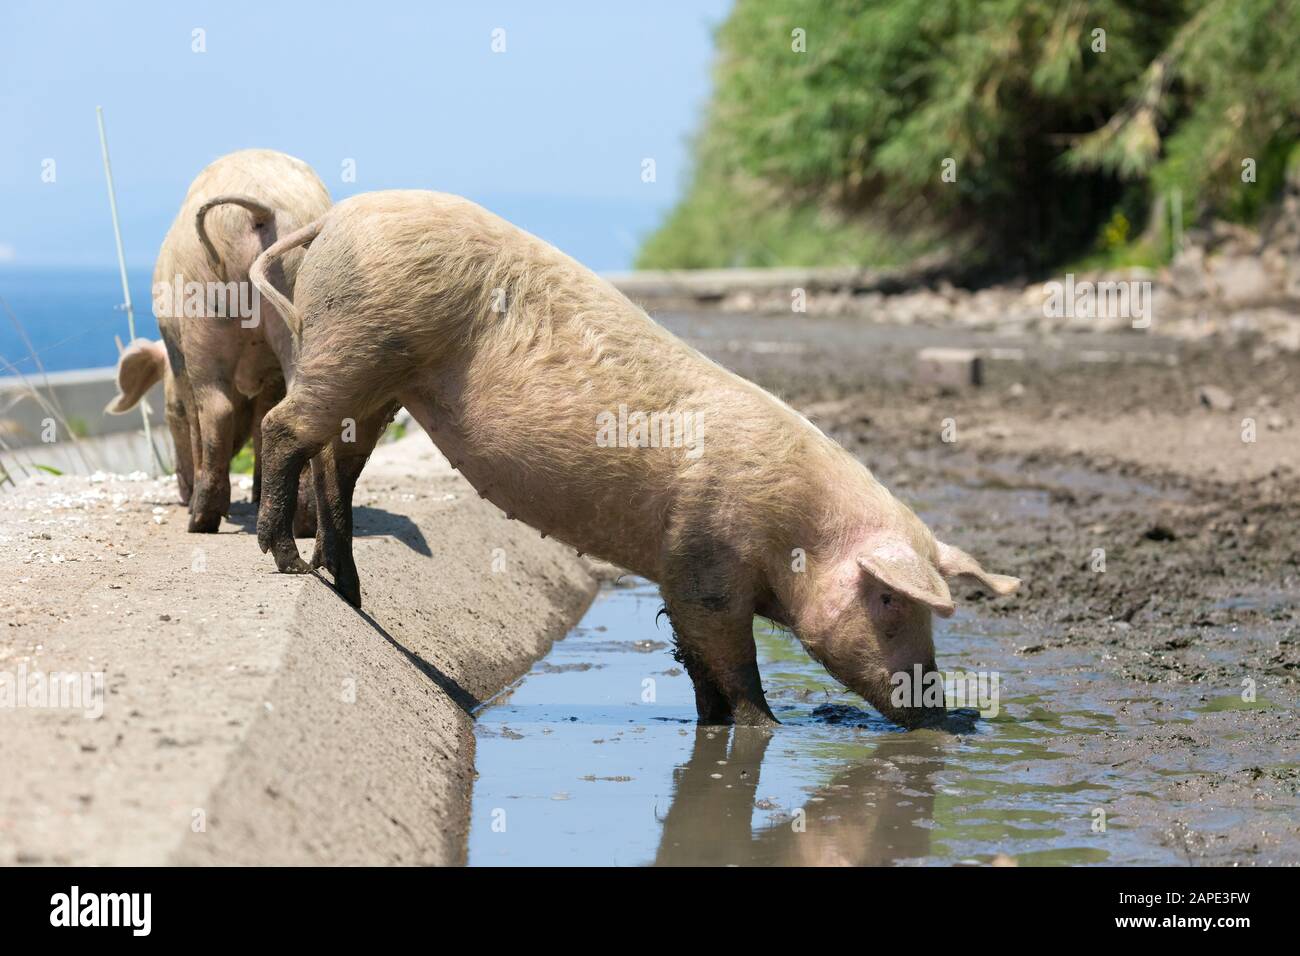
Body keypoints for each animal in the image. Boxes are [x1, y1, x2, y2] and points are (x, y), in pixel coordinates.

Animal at [142, 149, 330, 531]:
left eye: (170, 414)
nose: (180, 491)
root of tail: (259, 210)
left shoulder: (176, 348)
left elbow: (199, 415)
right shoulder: (269, 372)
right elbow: (262, 417)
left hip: (201, 311)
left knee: (215, 408)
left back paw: (200, 519)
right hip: (297, 293)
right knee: (293, 404)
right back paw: (301, 522)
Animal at [249, 190, 1021, 728]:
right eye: (890, 601)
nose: (943, 711)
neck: (797, 530)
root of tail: (339, 215)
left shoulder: (678, 570)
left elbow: (698, 663)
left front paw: (712, 725)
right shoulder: (705, 559)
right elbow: (731, 660)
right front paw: (765, 728)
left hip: (375, 372)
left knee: (333, 465)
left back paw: (346, 592)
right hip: (358, 341)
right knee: (282, 429)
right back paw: (287, 561)